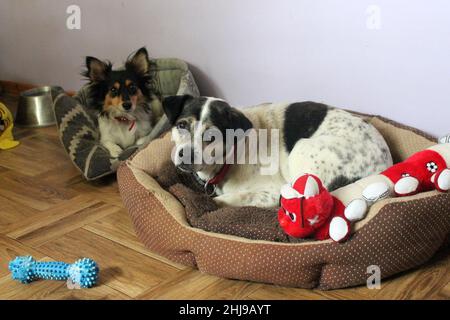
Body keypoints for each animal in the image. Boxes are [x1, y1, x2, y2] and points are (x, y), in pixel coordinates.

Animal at [163, 95, 392, 208]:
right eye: (182, 125)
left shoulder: (271, 192)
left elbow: (226, 199)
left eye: (212, 137)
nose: (186, 155)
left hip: (301, 149)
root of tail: (385, 165)